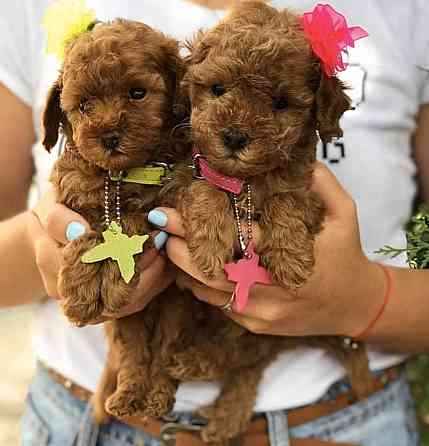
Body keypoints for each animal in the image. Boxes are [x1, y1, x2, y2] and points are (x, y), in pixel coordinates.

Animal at [41, 17, 186, 422]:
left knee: (163, 356)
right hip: (128, 324)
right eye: (83, 105)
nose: (108, 137)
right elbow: (86, 236)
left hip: (173, 314)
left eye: (137, 93)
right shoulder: (72, 202)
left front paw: (109, 278)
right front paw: (81, 293)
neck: (119, 175)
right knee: (133, 353)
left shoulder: (166, 204)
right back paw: (126, 397)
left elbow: (135, 222)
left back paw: (155, 399)